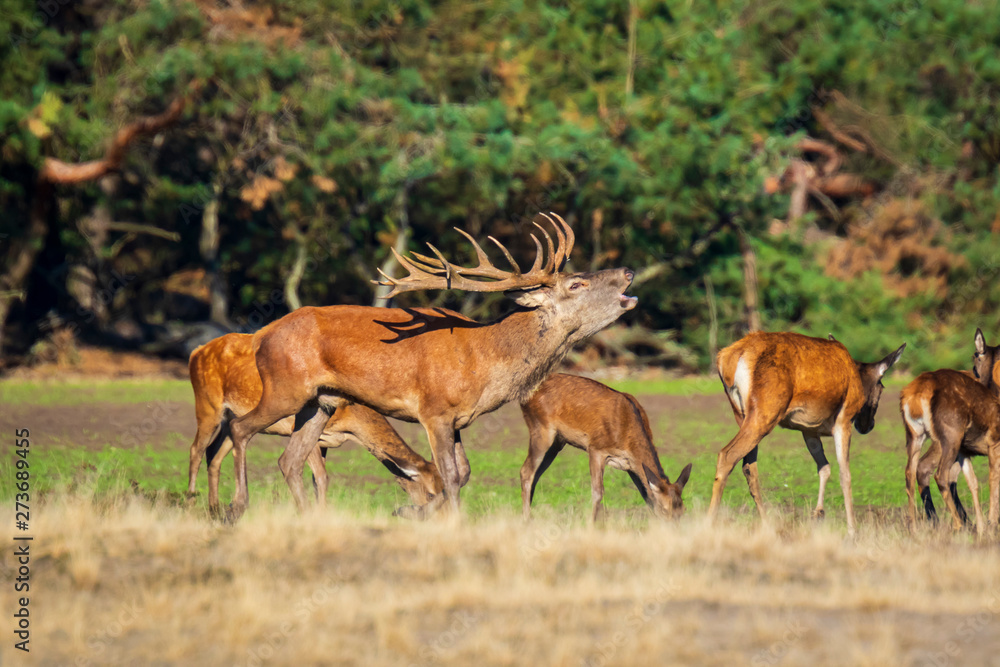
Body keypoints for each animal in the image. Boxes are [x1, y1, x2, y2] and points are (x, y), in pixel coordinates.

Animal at [186, 336, 444, 520]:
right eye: (430, 492)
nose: (438, 518)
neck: (351, 424)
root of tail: (195, 351)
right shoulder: (302, 427)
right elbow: (321, 476)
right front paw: (320, 514)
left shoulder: (326, 440)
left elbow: (318, 478)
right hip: (207, 405)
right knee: (196, 449)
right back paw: (190, 501)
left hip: (229, 418)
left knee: (214, 455)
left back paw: (215, 509)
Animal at [224, 214, 636, 520]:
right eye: (576, 284)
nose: (629, 271)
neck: (485, 362)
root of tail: (261, 336)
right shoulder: (433, 409)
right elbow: (451, 475)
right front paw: (451, 522)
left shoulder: (458, 419)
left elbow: (463, 473)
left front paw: (414, 511)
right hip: (285, 387)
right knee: (241, 427)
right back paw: (237, 506)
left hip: (320, 402)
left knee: (289, 460)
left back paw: (305, 516)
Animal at [520, 374, 692, 524]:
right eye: (664, 509)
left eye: (683, 510)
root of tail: (524, 398)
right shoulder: (596, 448)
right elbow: (597, 492)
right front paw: (591, 525)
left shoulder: (630, 465)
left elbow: (647, 496)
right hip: (541, 428)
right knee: (526, 471)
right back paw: (527, 520)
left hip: (557, 443)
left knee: (535, 474)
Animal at [708, 332, 904, 536]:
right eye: (881, 387)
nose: (867, 425)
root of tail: (728, 359)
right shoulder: (844, 418)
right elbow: (845, 474)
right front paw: (852, 530)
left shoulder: (808, 429)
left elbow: (824, 467)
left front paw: (818, 513)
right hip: (767, 410)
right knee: (727, 454)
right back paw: (709, 523)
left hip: (741, 413)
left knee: (749, 466)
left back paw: (766, 523)